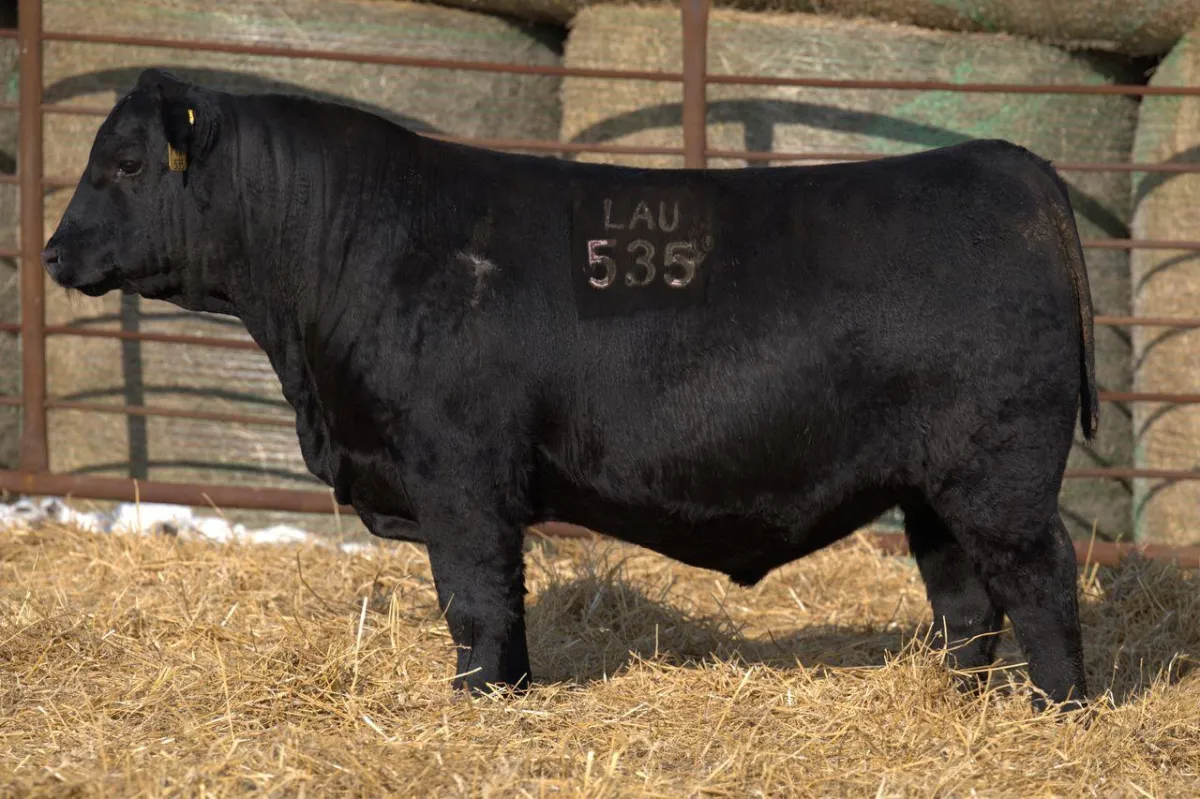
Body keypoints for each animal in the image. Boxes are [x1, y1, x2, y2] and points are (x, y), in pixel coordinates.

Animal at [42, 68, 1096, 712]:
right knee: (965, 598)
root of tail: (1009, 164)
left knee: (1040, 580)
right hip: (933, 487)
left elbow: (476, 599)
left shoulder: (458, 474)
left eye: (125, 163)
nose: (52, 253)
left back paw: (1058, 710)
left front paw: (477, 701)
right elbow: (495, 607)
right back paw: (955, 701)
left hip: (999, 471)